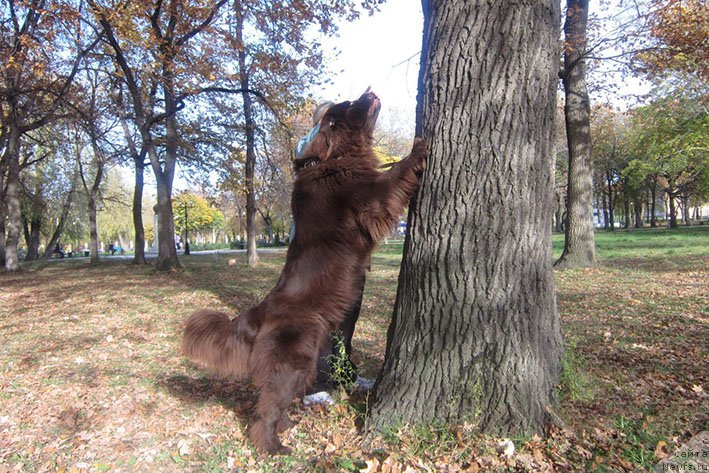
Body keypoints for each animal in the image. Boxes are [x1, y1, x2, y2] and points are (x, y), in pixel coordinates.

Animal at [183, 90, 426, 452]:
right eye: (349, 105)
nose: (369, 90)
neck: (330, 162)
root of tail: (258, 313)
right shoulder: (370, 200)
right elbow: (394, 176)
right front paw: (418, 149)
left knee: (277, 401)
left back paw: (287, 424)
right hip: (295, 360)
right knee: (267, 407)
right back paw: (272, 445)